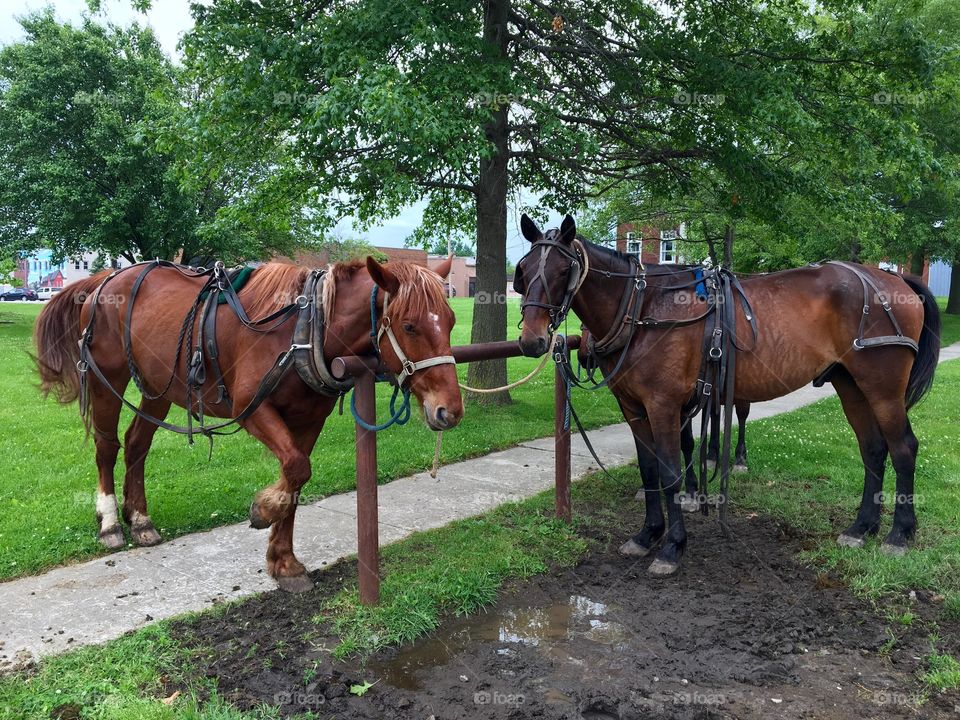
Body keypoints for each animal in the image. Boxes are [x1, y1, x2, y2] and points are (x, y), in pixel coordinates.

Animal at [34, 256, 463, 592]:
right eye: (409, 326)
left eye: (451, 320)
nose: (451, 411)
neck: (305, 330)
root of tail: (104, 279)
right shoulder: (251, 407)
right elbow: (296, 468)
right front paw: (262, 509)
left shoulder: (309, 419)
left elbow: (296, 479)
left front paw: (283, 561)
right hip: (108, 377)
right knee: (107, 446)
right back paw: (110, 523)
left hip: (159, 385)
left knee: (137, 442)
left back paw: (139, 518)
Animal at [516, 214, 939, 576]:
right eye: (524, 271)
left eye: (562, 271)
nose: (531, 340)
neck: (646, 307)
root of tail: (896, 281)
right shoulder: (633, 407)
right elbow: (649, 470)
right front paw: (647, 534)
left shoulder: (664, 405)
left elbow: (670, 472)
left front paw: (672, 547)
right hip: (851, 384)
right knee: (873, 449)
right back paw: (861, 528)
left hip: (882, 387)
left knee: (903, 448)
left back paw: (899, 534)